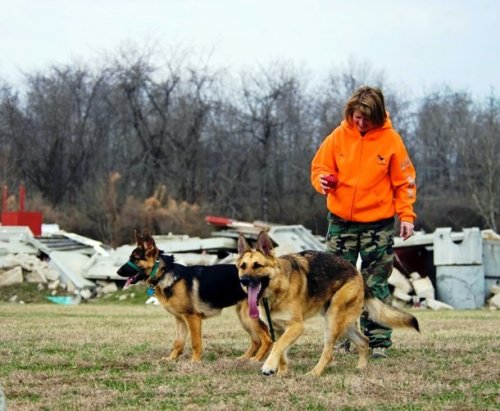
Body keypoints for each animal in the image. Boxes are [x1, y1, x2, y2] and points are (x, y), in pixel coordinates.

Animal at [116, 232, 272, 364]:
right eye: (130, 258)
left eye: (135, 259)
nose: (117, 272)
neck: (164, 272)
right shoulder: (180, 319)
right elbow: (178, 342)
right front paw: (171, 358)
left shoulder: (192, 318)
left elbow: (195, 342)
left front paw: (195, 361)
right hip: (243, 317)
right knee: (256, 340)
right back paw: (244, 358)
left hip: (248, 317)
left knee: (267, 339)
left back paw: (256, 360)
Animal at [236, 232, 420, 376]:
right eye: (243, 266)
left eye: (257, 266)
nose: (243, 281)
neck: (278, 286)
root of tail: (357, 273)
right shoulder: (279, 329)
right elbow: (280, 349)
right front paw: (282, 371)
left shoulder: (296, 327)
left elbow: (278, 346)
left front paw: (269, 366)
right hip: (343, 323)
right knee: (364, 340)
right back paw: (361, 367)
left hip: (333, 320)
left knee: (329, 352)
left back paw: (314, 373)